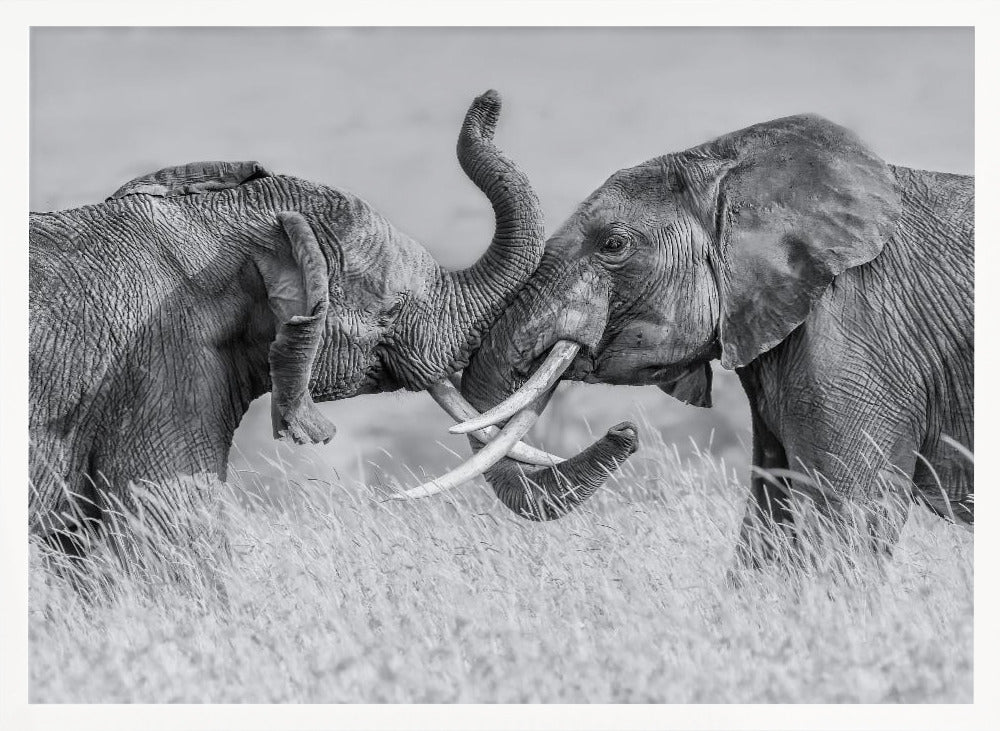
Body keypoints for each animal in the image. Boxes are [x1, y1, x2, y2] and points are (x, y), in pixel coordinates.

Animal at [417, 113, 973, 560]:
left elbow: (845, 521)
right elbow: (769, 520)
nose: (625, 432)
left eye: (612, 244)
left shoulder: (858, 331)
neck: (733, 167)